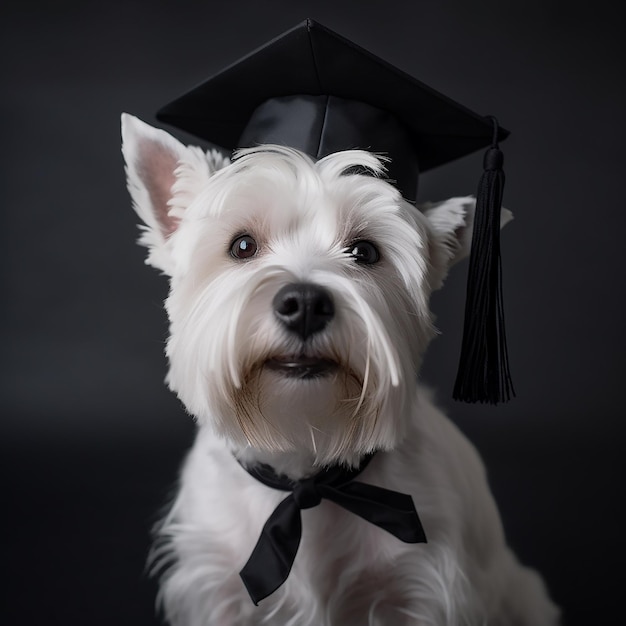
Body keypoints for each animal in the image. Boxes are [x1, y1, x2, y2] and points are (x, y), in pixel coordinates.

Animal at [120, 113, 556, 624]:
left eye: (365, 252)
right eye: (242, 245)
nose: (305, 304)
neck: (305, 465)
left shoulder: (422, 590)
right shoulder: (218, 590)